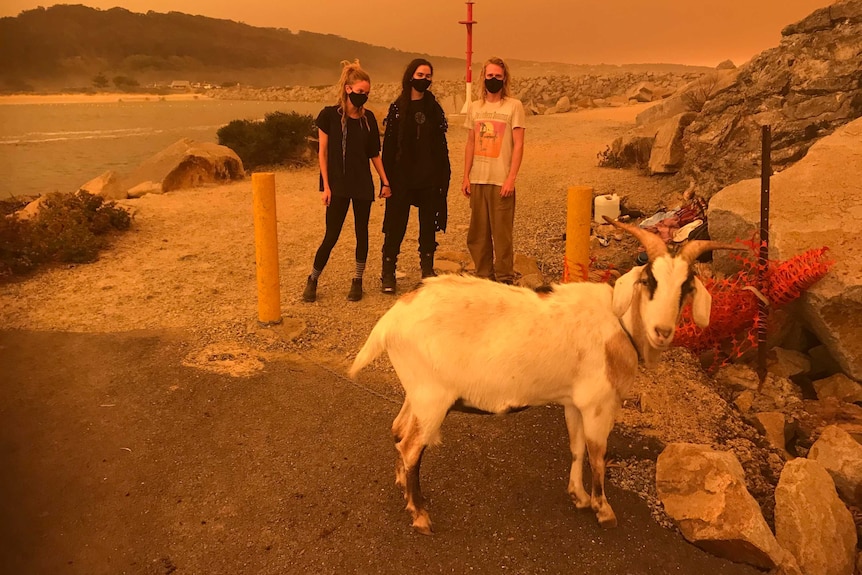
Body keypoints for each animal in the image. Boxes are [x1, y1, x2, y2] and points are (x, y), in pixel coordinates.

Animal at [348, 219, 740, 536]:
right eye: (649, 280)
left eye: (687, 287)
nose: (663, 331)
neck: (619, 325)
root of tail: (392, 319)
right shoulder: (599, 404)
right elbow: (598, 455)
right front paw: (604, 510)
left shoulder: (575, 402)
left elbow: (577, 447)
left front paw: (579, 496)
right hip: (433, 398)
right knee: (411, 447)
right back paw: (420, 516)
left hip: (417, 392)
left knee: (399, 431)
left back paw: (403, 487)